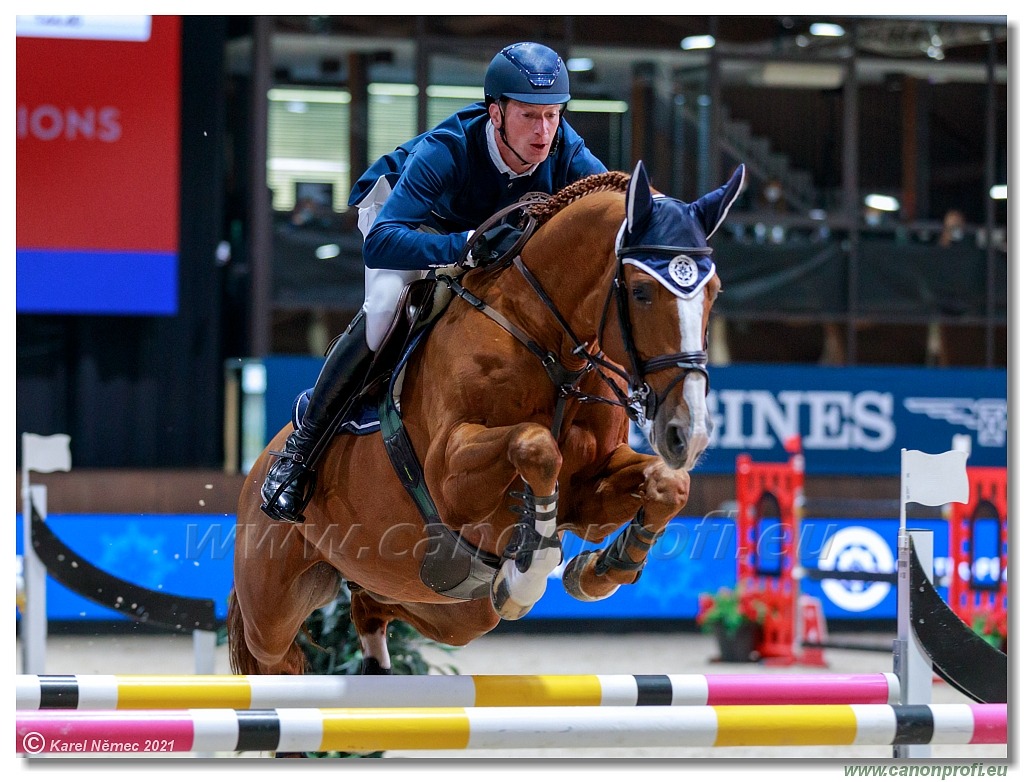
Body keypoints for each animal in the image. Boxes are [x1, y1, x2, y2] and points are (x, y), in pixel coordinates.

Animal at [230, 161, 745, 675]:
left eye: (714, 291)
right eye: (640, 292)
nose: (688, 433)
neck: (548, 343)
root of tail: (258, 467)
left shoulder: (588, 492)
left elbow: (669, 485)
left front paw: (601, 569)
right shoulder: (449, 476)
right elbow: (535, 445)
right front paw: (528, 571)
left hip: (448, 606)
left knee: (374, 604)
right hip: (271, 610)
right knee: (276, 655)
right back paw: (287, 482)